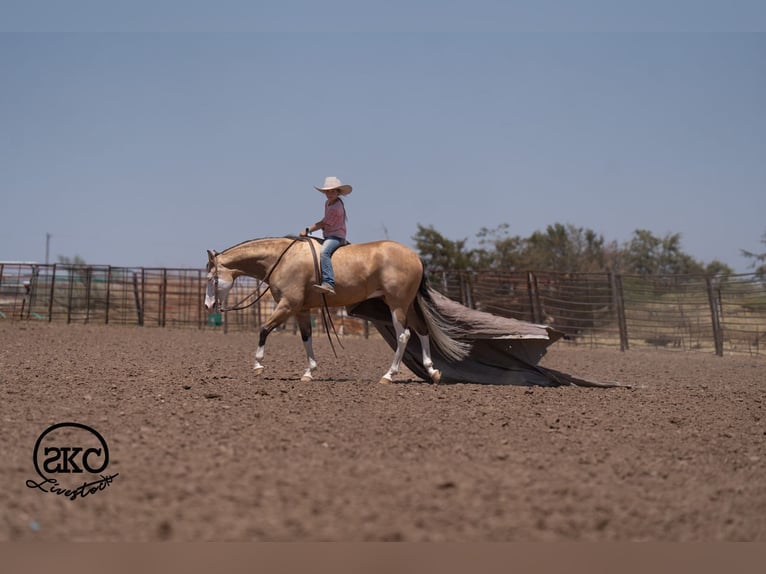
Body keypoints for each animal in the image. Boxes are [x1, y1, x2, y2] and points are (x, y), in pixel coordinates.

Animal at [204, 237, 468, 384]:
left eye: (210, 278)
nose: (208, 306)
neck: (283, 259)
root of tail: (416, 257)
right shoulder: (301, 311)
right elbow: (306, 338)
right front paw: (309, 373)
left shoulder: (288, 305)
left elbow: (264, 329)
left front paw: (258, 365)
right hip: (408, 304)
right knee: (422, 330)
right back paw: (432, 371)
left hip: (397, 305)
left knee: (404, 336)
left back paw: (388, 376)